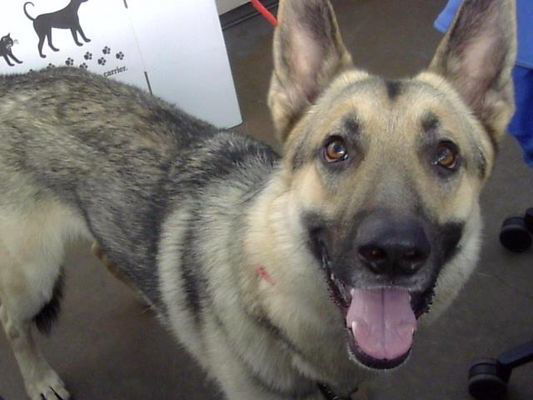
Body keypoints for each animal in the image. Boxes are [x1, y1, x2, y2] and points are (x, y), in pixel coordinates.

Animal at [0, 0, 516, 398]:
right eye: (336, 149)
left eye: (445, 156)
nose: (392, 254)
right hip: (33, 277)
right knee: (14, 326)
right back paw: (40, 379)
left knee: (100, 247)